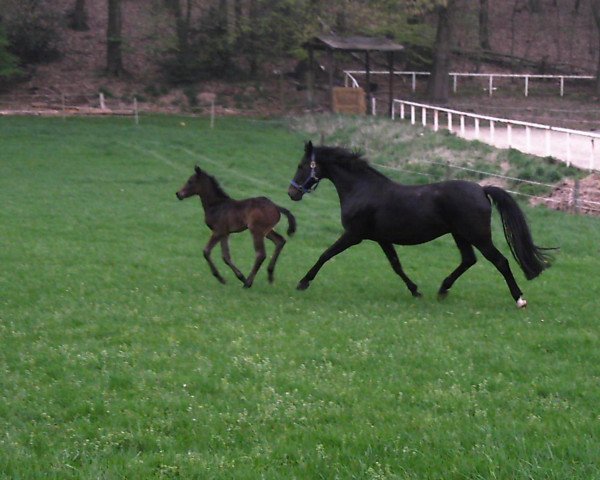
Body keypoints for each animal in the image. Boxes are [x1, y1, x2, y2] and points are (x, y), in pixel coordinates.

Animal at [288, 141, 552, 310]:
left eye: (301, 166)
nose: (292, 192)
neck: (362, 189)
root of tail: (481, 189)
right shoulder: (382, 238)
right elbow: (396, 265)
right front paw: (415, 290)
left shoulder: (353, 235)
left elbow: (325, 255)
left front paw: (302, 282)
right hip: (460, 235)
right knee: (469, 260)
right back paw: (443, 290)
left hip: (478, 236)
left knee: (500, 261)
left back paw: (519, 299)